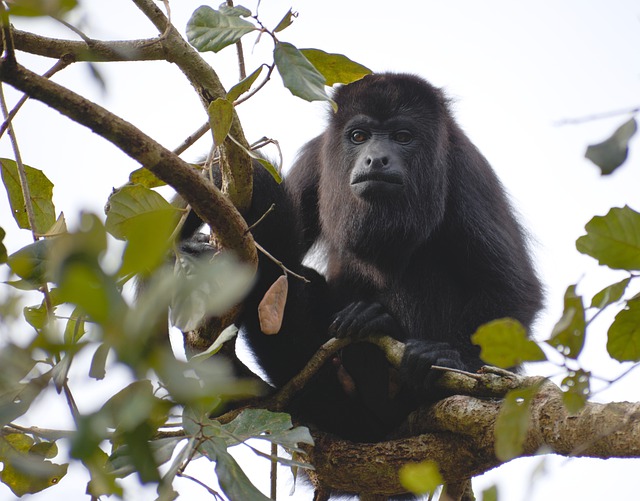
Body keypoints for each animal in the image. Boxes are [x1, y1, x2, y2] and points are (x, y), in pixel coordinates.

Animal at [182, 71, 544, 442]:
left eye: (402, 137)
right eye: (359, 136)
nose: (377, 158)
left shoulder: (467, 172)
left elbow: (511, 287)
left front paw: (453, 360)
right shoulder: (316, 157)